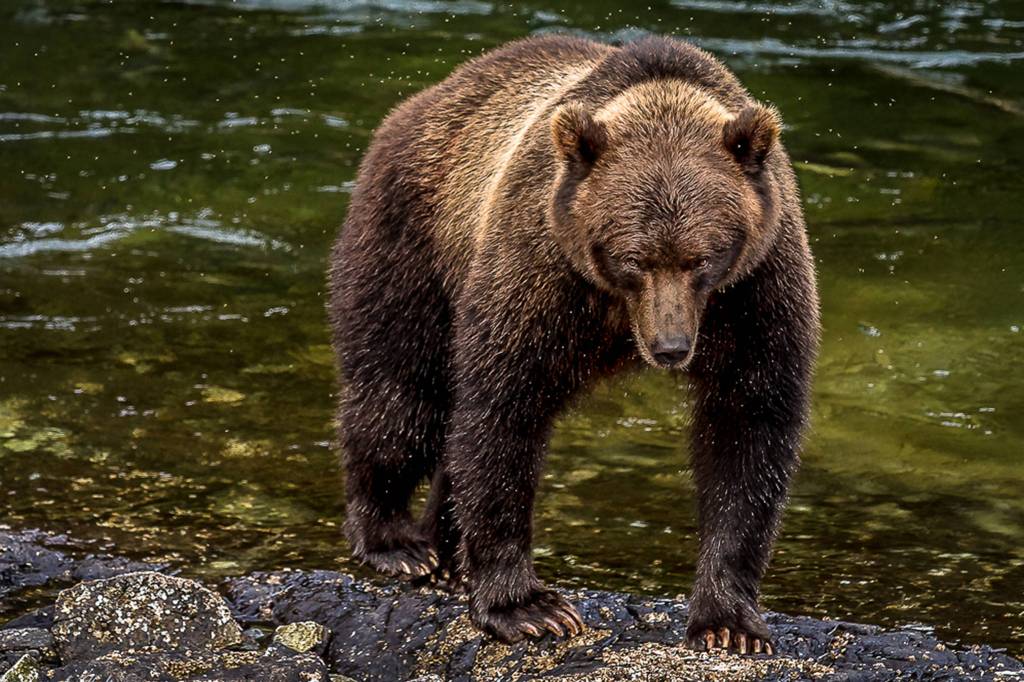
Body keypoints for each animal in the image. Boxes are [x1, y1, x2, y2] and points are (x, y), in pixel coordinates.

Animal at [327, 34, 820, 654]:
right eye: (635, 258)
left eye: (701, 259)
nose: (671, 346)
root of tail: (429, 96)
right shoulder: (541, 262)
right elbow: (503, 408)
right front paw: (528, 607)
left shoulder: (756, 286)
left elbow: (750, 422)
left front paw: (729, 622)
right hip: (411, 240)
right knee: (399, 394)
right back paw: (396, 542)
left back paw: (446, 551)